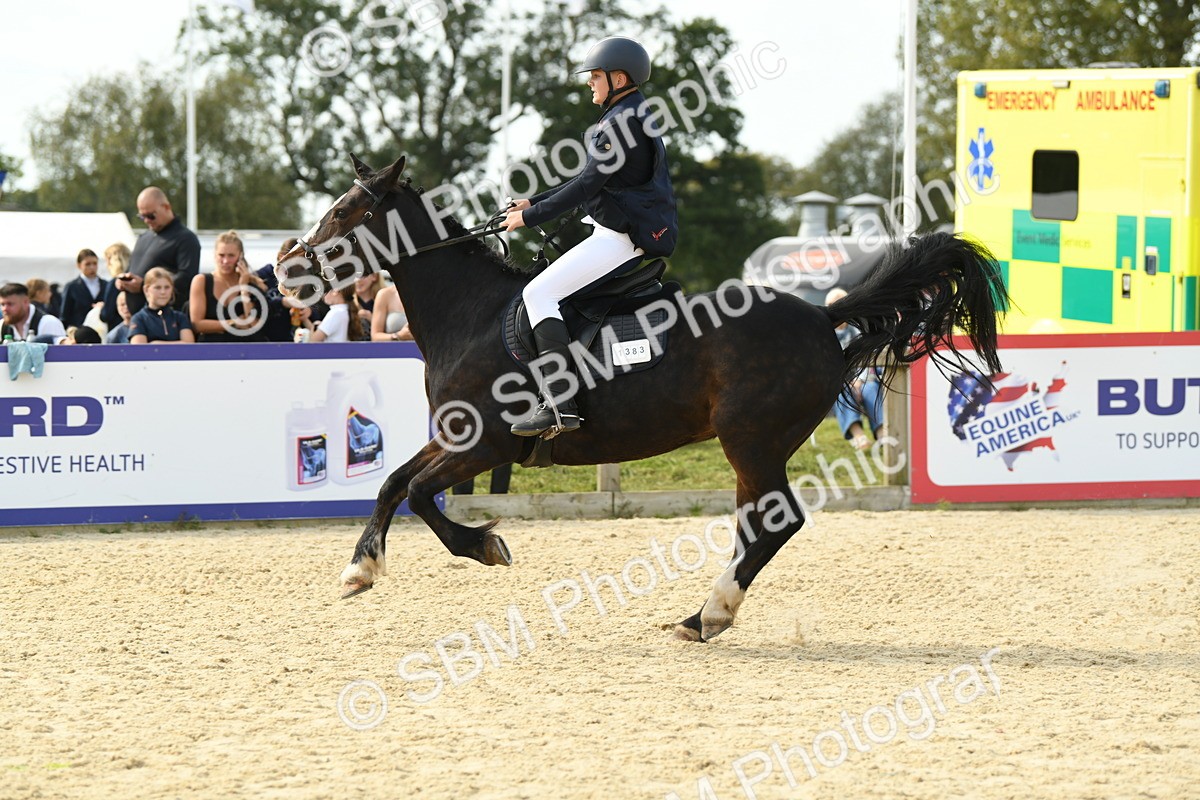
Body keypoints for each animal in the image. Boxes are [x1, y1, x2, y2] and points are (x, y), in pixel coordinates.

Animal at [278, 154, 1007, 642]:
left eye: (344, 211)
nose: (285, 270)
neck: (473, 314)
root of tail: (823, 317)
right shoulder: (458, 437)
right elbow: (394, 484)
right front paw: (360, 568)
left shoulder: (487, 442)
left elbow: (423, 495)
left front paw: (481, 547)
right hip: (751, 449)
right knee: (757, 526)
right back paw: (701, 615)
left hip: (751, 440)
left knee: (775, 523)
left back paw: (709, 615)